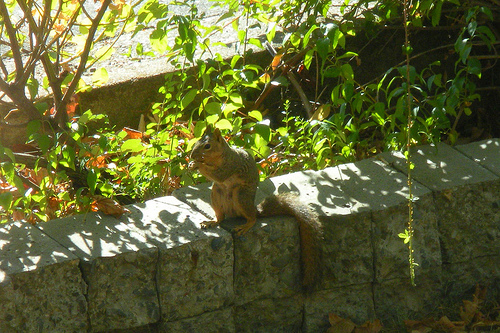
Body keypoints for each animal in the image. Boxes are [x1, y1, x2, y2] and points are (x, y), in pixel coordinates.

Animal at [189, 126, 322, 290]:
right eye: (197, 141)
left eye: (207, 146)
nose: (192, 155)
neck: (221, 155)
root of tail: (255, 209)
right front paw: (192, 164)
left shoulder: (230, 165)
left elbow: (218, 175)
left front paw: (197, 165)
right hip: (216, 193)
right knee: (220, 217)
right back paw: (212, 222)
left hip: (241, 196)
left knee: (252, 218)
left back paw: (245, 226)